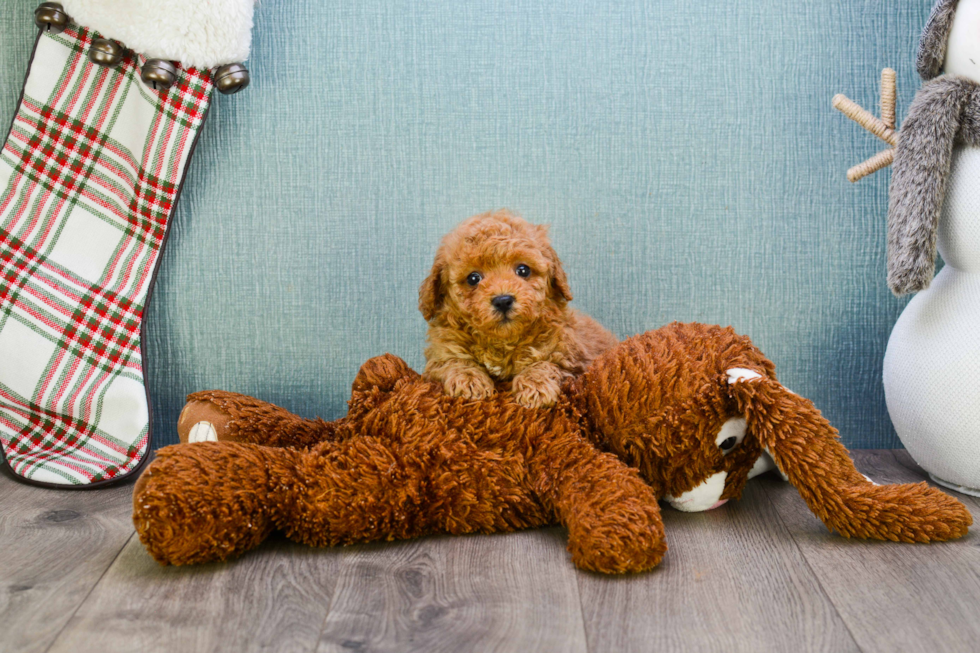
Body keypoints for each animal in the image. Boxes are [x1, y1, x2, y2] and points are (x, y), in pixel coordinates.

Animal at [418, 209, 616, 404]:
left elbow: (544, 364)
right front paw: (469, 380)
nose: (503, 300)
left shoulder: (568, 358)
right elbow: (454, 361)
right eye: (473, 278)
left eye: (523, 270)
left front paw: (536, 387)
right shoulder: (441, 354)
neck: (503, 340)